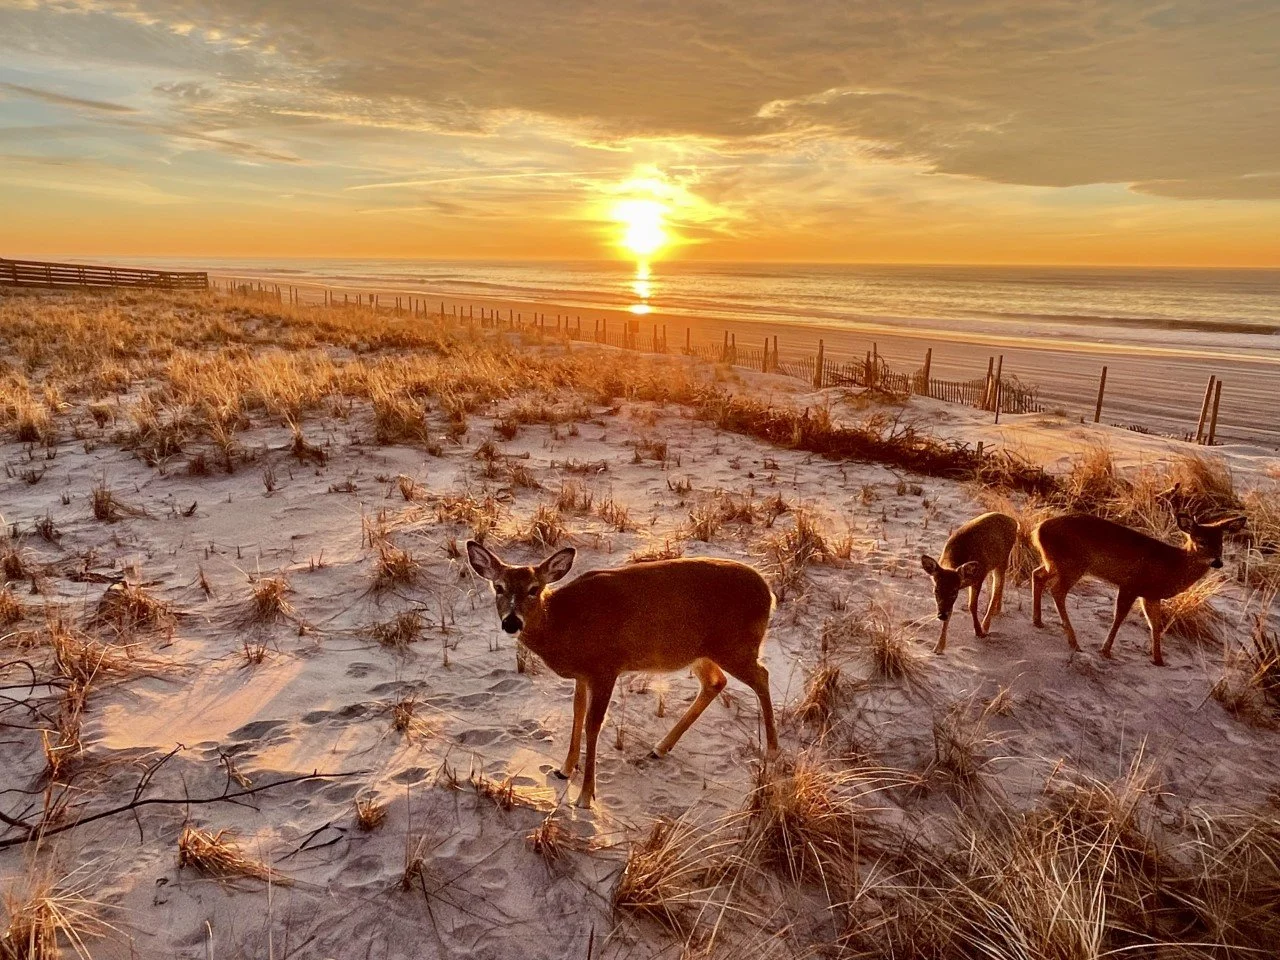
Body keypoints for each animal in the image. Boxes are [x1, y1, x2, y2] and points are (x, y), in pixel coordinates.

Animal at [465, 541, 779, 808]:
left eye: (534, 588)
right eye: (498, 587)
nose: (511, 622)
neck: (563, 622)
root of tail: (770, 593)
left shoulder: (606, 667)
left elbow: (593, 724)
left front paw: (585, 796)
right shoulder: (583, 674)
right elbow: (577, 713)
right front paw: (564, 770)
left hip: (736, 646)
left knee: (762, 676)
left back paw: (773, 751)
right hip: (699, 652)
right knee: (716, 681)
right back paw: (659, 748)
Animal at [920, 511, 1018, 654]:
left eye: (954, 592)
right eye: (936, 590)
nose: (941, 615)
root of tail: (1014, 521)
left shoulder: (979, 577)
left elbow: (972, 605)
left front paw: (979, 632)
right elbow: (951, 611)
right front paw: (939, 647)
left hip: (1003, 559)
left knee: (997, 587)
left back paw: (986, 625)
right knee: (1000, 586)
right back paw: (997, 610)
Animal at [1031, 511, 1246, 665]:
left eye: (1221, 543)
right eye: (1201, 541)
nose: (1218, 562)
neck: (1171, 566)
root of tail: (1038, 529)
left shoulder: (1151, 595)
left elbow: (1155, 624)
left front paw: (1159, 660)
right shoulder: (1131, 584)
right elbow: (1119, 616)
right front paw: (1106, 650)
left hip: (1056, 562)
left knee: (1037, 575)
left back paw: (1038, 621)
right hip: (1072, 564)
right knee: (1057, 591)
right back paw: (1074, 642)